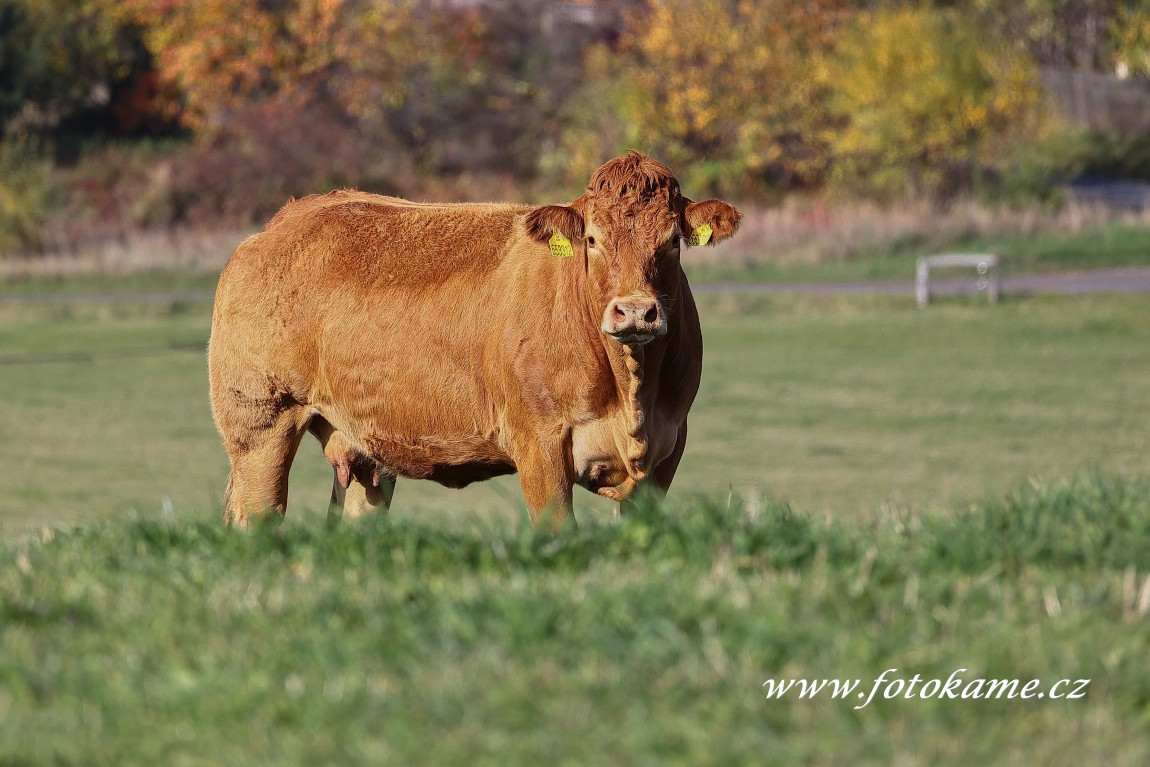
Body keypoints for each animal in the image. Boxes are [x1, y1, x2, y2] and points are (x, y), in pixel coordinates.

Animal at [208, 152, 740, 531]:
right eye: (592, 239)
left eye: (672, 241)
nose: (634, 312)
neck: (632, 393)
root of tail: (288, 218)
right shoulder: (539, 445)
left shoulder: (668, 448)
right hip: (260, 426)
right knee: (255, 516)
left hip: (362, 450)